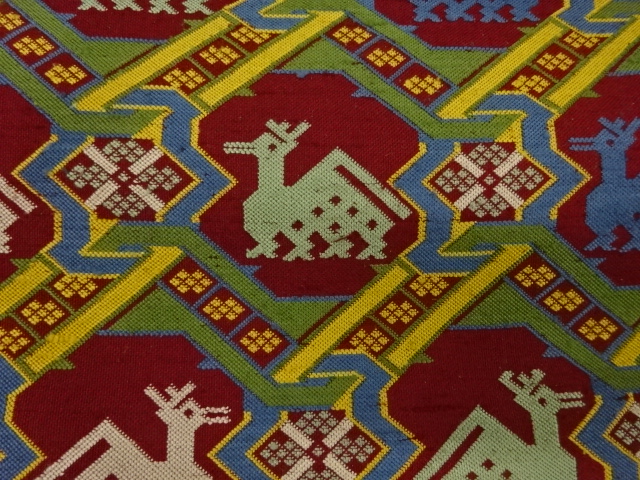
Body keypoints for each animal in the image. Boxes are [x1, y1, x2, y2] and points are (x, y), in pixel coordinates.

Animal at [222, 120, 411, 261]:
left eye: (271, 146)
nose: (234, 147)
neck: (271, 191)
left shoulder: (285, 225)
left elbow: (296, 243)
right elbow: (270, 243)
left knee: (372, 242)